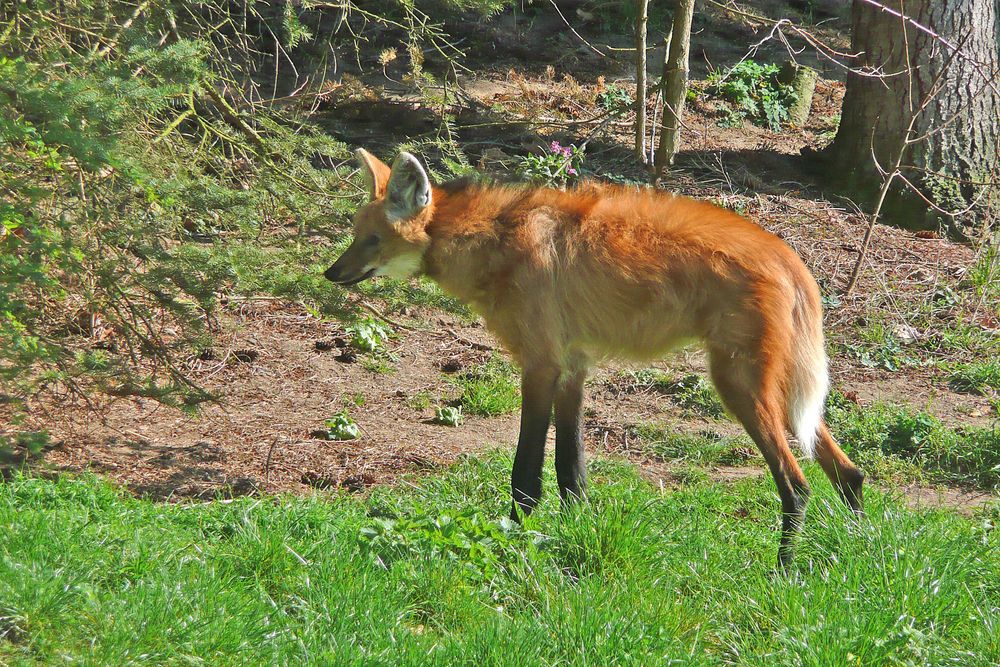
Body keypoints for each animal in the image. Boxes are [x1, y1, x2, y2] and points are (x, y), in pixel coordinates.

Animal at [324, 149, 864, 568]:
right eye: (354, 235)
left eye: (372, 241)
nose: (331, 273)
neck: (494, 240)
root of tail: (789, 256)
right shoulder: (573, 366)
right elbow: (572, 473)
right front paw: (575, 538)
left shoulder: (541, 364)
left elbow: (526, 477)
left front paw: (515, 544)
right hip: (777, 389)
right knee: (849, 472)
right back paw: (857, 552)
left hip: (737, 382)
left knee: (797, 484)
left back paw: (783, 572)